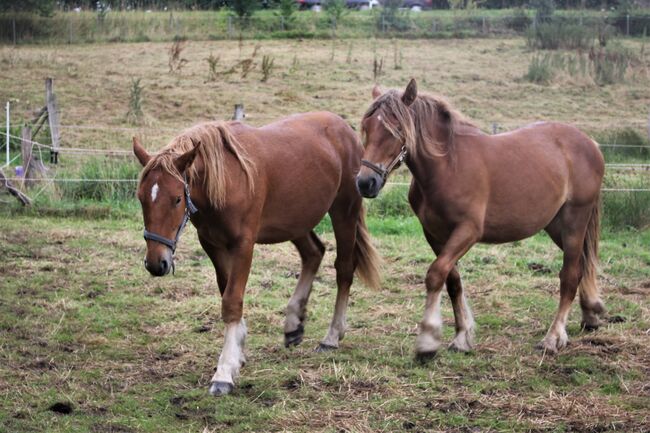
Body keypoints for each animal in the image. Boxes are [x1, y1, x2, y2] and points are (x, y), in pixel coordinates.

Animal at [134, 112, 382, 394]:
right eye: (141, 197)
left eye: (177, 199)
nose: (157, 263)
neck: (228, 176)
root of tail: (344, 128)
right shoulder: (212, 244)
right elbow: (227, 291)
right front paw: (237, 353)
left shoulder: (243, 245)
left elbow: (232, 300)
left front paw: (224, 372)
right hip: (295, 220)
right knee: (313, 253)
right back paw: (293, 323)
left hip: (344, 212)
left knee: (344, 269)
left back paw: (331, 336)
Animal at [354, 79, 604, 356]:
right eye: (367, 127)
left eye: (396, 128)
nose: (365, 182)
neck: (448, 166)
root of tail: (591, 143)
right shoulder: (435, 235)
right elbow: (452, 281)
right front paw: (462, 337)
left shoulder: (468, 231)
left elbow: (435, 274)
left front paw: (428, 341)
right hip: (556, 226)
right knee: (583, 265)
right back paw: (590, 315)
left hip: (574, 222)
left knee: (569, 275)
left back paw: (553, 337)